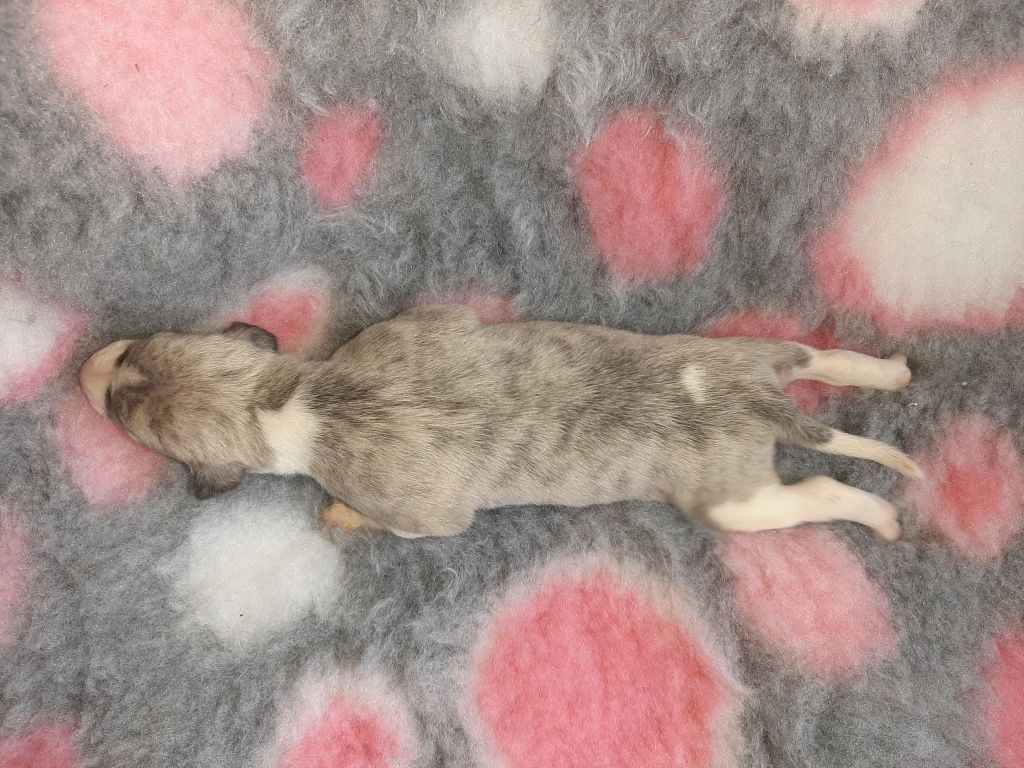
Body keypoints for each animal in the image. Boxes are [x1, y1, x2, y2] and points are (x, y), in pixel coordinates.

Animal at [79, 304, 921, 539]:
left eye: (124, 416)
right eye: (134, 349)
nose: (83, 371)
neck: (288, 400)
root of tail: (755, 403)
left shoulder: (424, 514)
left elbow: (406, 523)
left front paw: (344, 516)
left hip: (736, 502)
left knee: (820, 491)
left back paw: (880, 517)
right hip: (745, 351)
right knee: (818, 358)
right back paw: (888, 370)